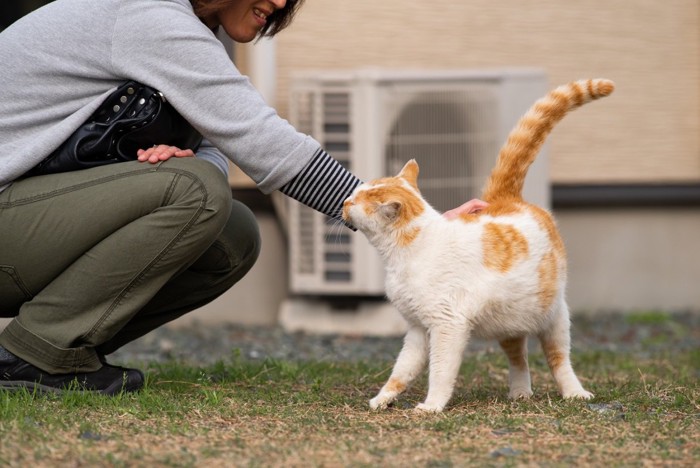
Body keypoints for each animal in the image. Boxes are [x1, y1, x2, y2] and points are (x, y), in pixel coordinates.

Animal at [342, 78, 616, 412]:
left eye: (356, 200)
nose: (344, 200)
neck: (406, 252)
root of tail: (506, 199)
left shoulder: (447, 325)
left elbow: (440, 371)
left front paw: (431, 406)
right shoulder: (418, 328)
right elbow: (402, 369)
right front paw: (383, 398)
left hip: (554, 316)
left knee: (559, 359)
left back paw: (575, 392)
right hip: (510, 319)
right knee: (518, 356)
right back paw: (520, 392)